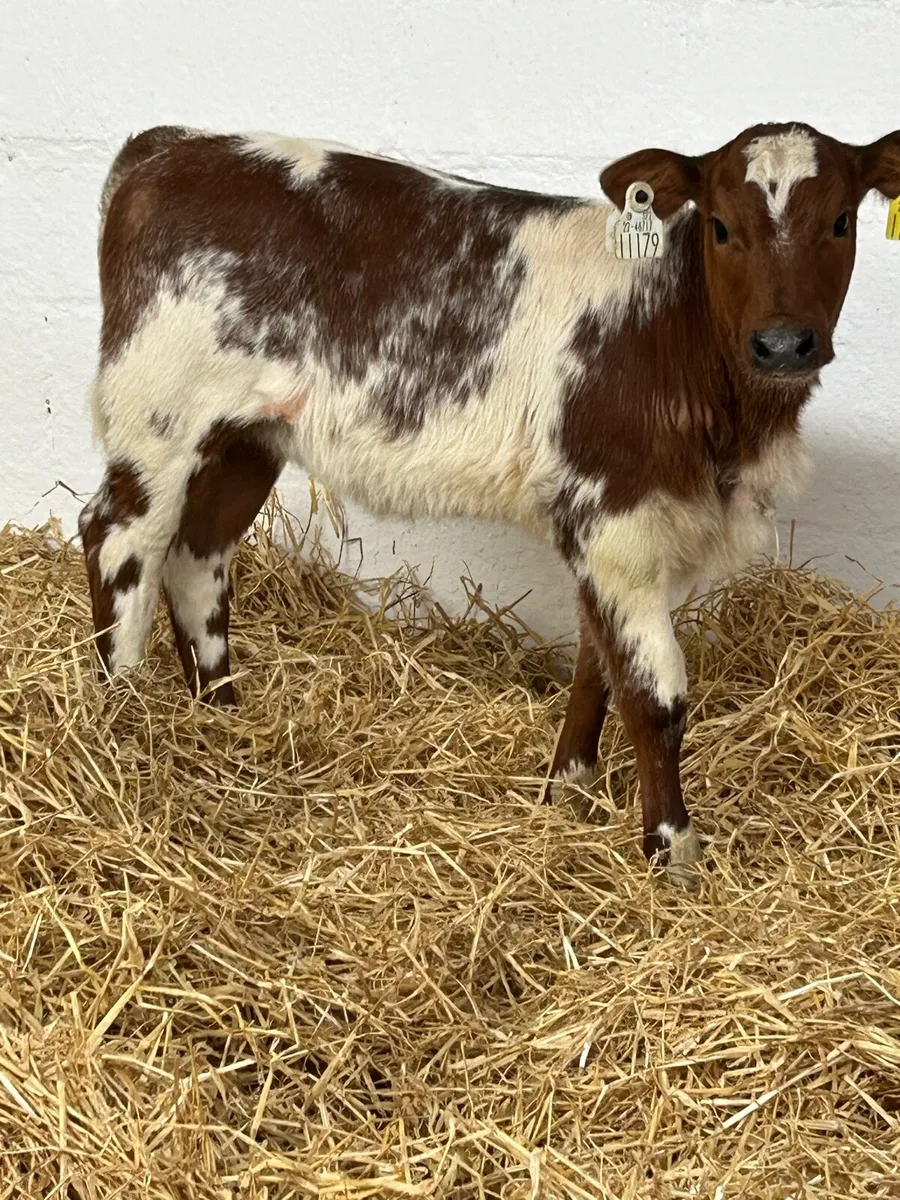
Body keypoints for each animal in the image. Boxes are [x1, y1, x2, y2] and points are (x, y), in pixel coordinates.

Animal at [78, 121, 900, 886]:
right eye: (722, 226)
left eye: (842, 221)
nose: (784, 344)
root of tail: (167, 145)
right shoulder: (618, 519)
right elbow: (654, 694)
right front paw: (673, 854)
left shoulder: (605, 528)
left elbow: (596, 665)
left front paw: (566, 792)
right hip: (158, 417)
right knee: (120, 539)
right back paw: (125, 727)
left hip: (249, 435)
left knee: (198, 556)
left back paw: (220, 724)